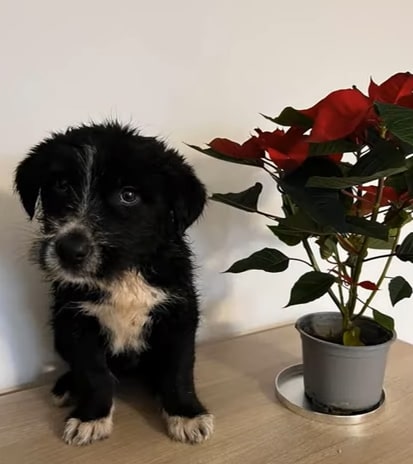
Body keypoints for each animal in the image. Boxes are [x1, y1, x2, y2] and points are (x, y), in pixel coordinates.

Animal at [13, 122, 212, 446]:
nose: (69, 250)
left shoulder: (178, 314)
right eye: (61, 185)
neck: (122, 273)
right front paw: (91, 417)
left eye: (128, 195)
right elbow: (94, 374)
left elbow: (178, 370)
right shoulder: (76, 322)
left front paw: (185, 414)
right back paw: (67, 386)